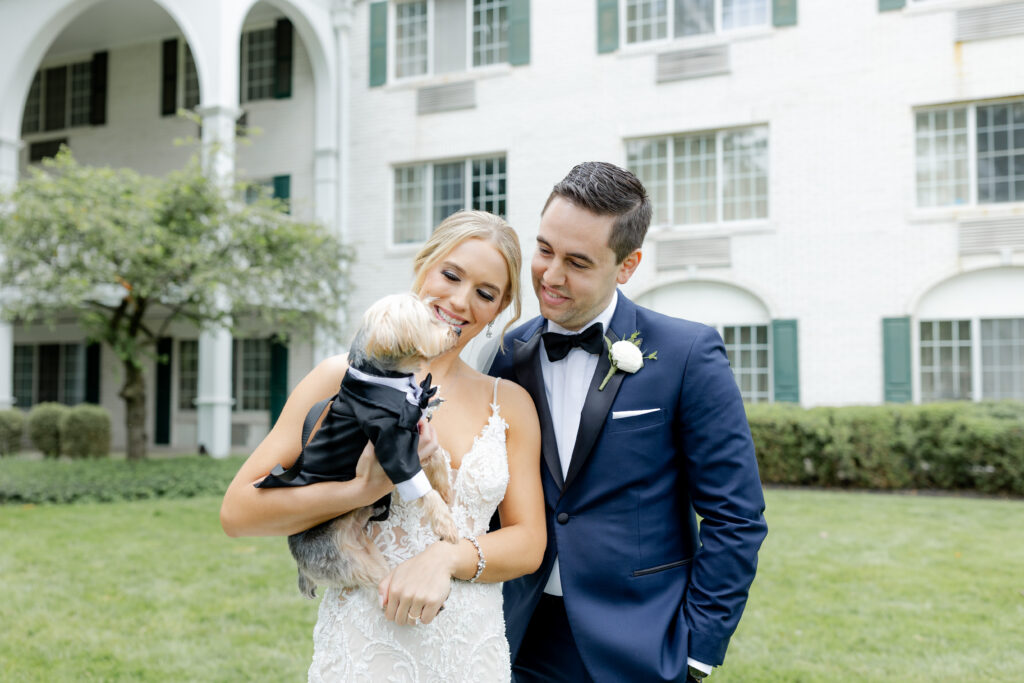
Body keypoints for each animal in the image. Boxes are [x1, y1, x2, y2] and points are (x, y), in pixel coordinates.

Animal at [256, 294, 460, 598]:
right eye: (431, 319)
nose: (456, 330)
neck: (388, 381)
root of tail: (299, 563)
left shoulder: (417, 433)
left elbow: (435, 458)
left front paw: (445, 488)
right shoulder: (392, 445)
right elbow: (421, 486)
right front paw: (445, 523)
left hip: (365, 548)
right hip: (349, 561)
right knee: (381, 583)